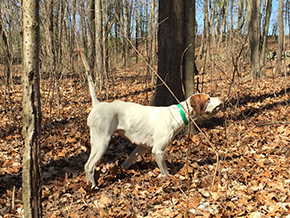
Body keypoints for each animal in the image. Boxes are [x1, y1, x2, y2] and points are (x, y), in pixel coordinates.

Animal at [84, 77, 222, 189]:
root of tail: (97, 105)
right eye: (208, 98)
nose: (221, 98)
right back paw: (93, 187)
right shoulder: (158, 151)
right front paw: (170, 179)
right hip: (102, 142)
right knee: (88, 166)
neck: (177, 114)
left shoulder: (142, 147)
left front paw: (121, 171)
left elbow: (127, 162)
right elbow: (165, 172)